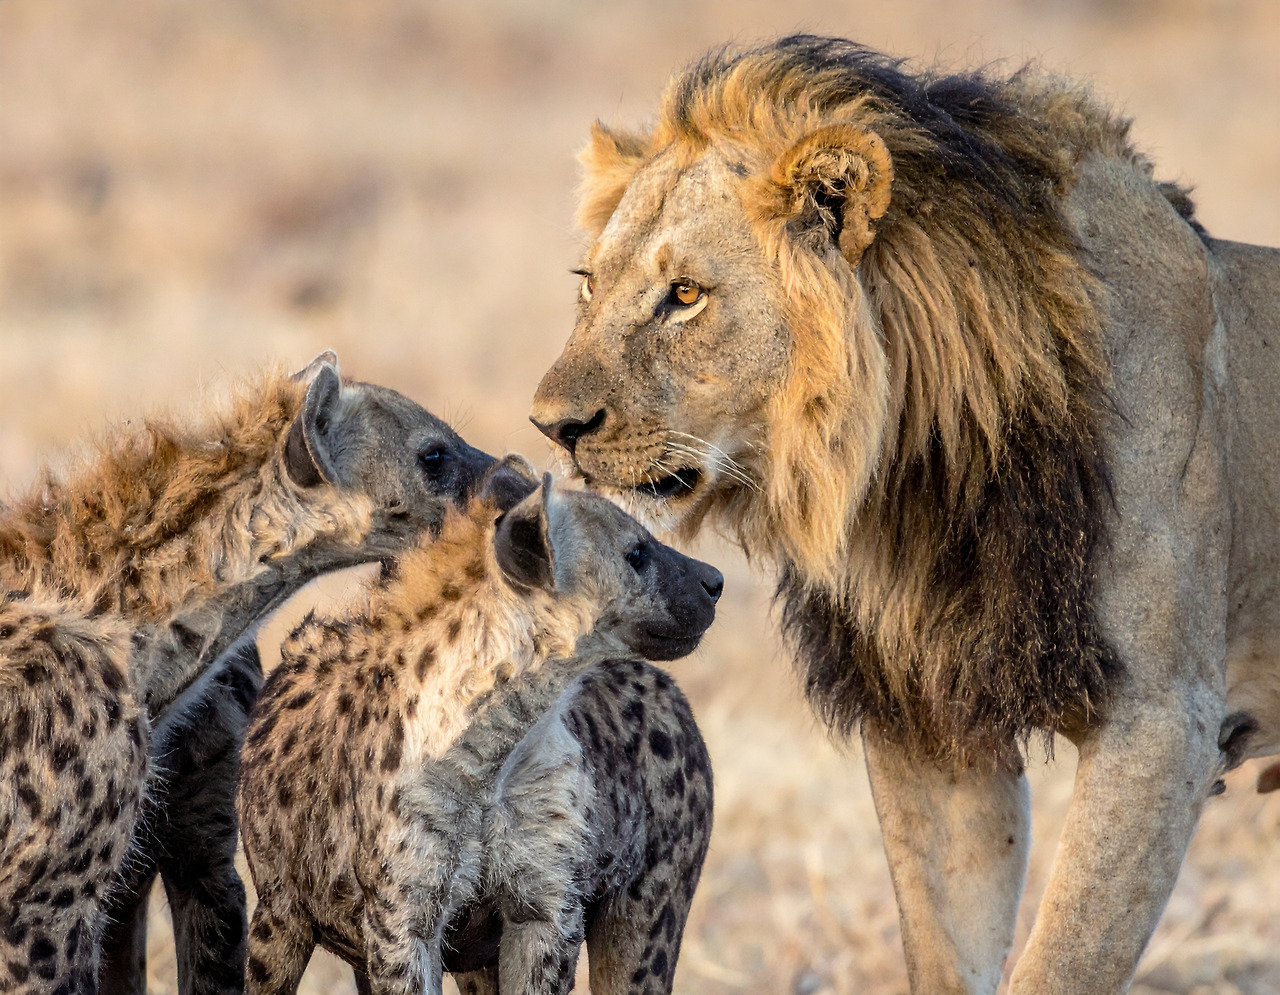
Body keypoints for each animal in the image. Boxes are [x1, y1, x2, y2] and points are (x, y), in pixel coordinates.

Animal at [529, 35, 1280, 995]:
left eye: (687, 295)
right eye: (589, 285)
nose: (551, 425)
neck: (920, 474)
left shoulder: (1162, 719)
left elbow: (1062, 961)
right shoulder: (929, 727)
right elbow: (947, 951)